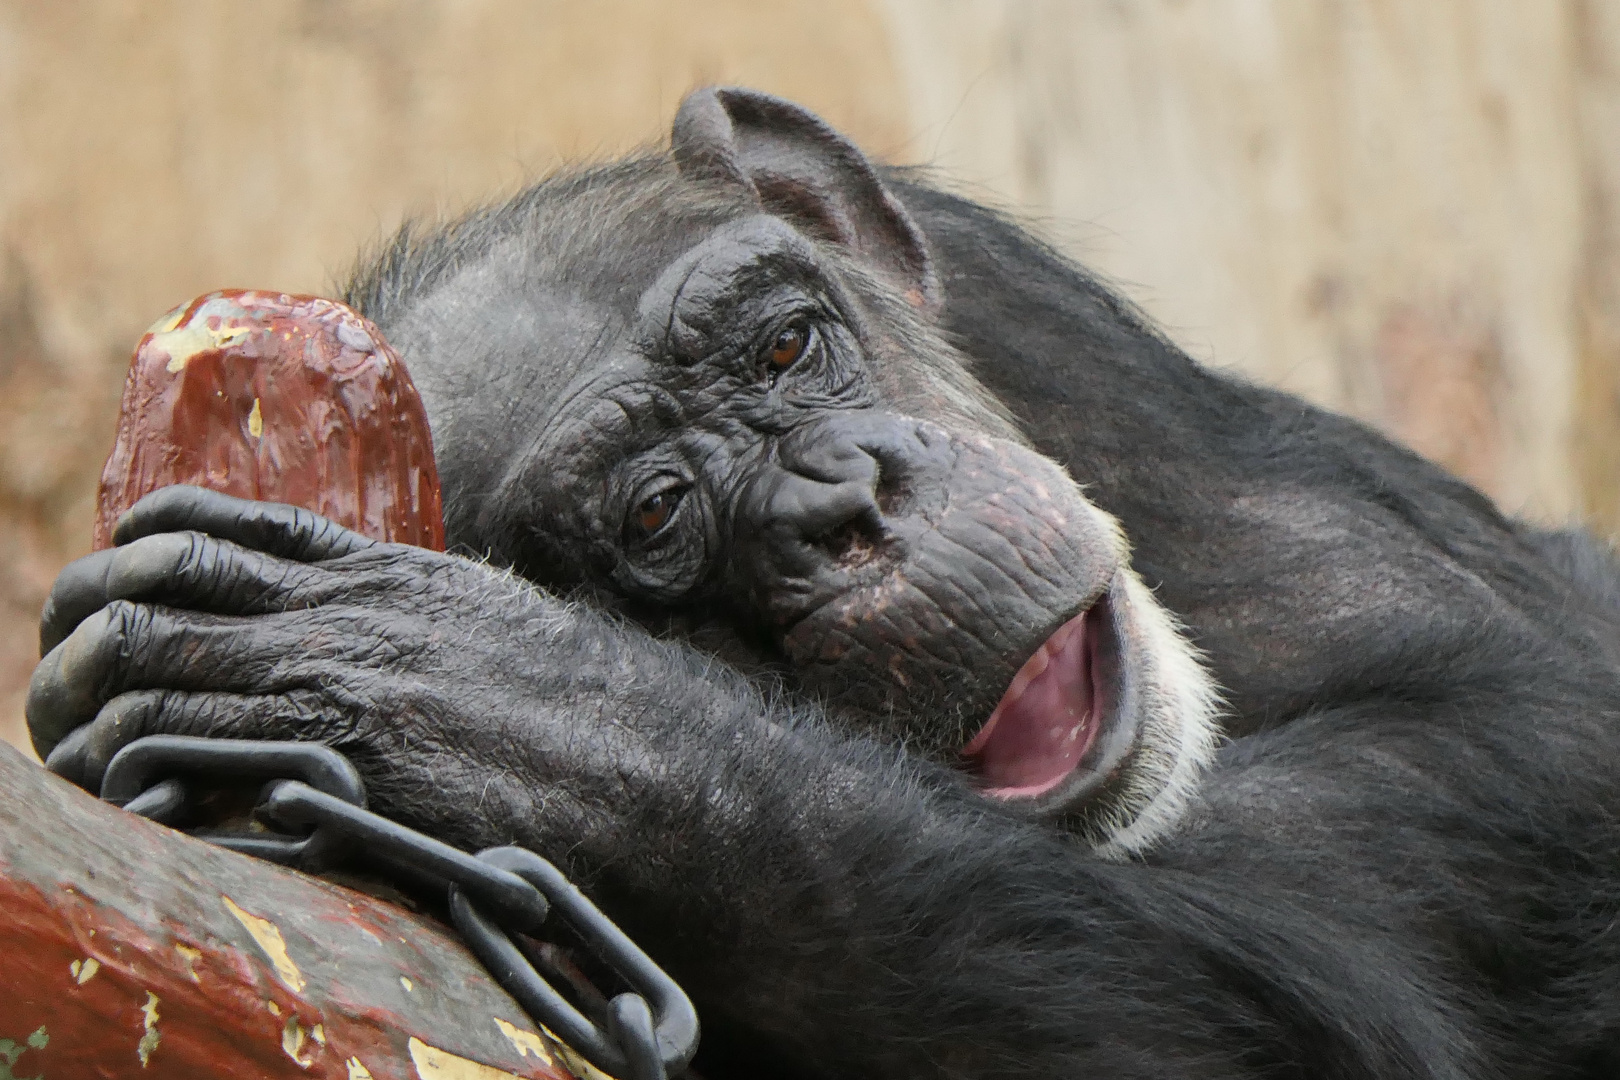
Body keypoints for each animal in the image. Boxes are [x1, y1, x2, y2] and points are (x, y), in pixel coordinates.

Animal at [25, 88, 1620, 1075]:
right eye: (657, 513)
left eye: (785, 346)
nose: (841, 504)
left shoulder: (1057, 340)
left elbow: (1502, 723)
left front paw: (469, 690)